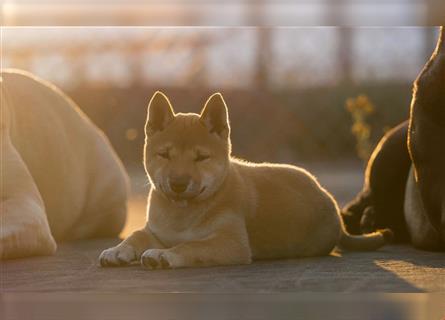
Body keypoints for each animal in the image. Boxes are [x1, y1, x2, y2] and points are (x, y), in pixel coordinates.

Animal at [99, 91, 390, 268]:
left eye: (201, 157)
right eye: (164, 155)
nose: (178, 184)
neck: (181, 215)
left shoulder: (231, 244)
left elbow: (190, 246)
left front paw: (163, 255)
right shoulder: (155, 231)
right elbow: (136, 235)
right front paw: (118, 250)